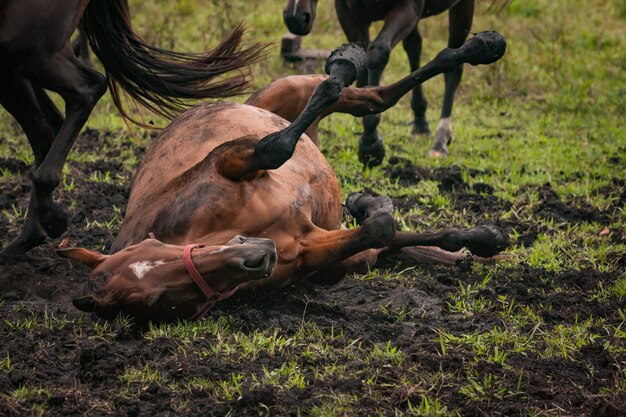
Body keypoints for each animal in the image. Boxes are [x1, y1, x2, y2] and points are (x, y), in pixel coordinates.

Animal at [59, 33, 508, 324]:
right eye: (158, 299)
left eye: (159, 253)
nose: (255, 257)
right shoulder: (308, 246)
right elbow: (379, 227)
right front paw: (371, 204)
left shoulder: (230, 159)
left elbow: (276, 147)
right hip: (344, 255)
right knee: (379, 237)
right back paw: (479, 237)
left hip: (289, 88)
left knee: (363, 96)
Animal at [282, 0, 492, 163]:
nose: (295, 17)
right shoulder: (349, 14)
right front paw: (368, 139)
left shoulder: (406, 8)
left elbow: (377, 55)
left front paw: (371, 145)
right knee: (414, 48)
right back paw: (420, 124)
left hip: (462, 7)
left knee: (454, 67)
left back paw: (440, 141)